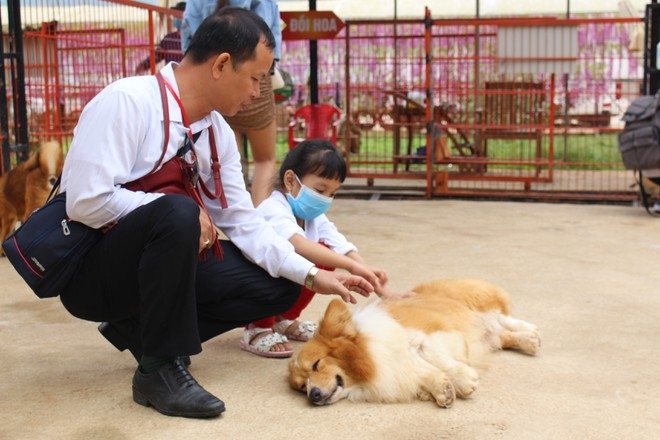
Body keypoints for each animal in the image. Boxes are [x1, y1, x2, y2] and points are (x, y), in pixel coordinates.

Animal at [290, 280, 540, 408]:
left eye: (316, 364)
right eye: (302, 388)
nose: (313, 395)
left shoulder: (432, 334)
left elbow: (439, 358)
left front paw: (464, 381)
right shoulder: (400, 367)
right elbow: (425, 373)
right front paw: (443, 391)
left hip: (479, 305)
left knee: (503, 318)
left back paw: (532, 332)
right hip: (489, 333)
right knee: (502, 335)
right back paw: (528, 341)